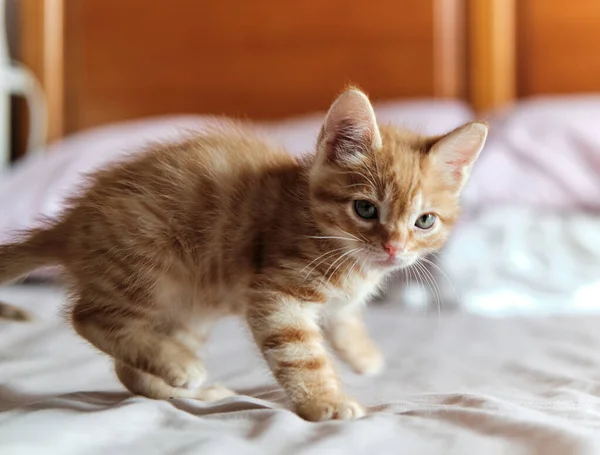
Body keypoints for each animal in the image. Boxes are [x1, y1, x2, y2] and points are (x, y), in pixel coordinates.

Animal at [0, 88, 488, 420]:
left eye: (425, 221)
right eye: (365, 209)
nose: (393, 248)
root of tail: (72, 222)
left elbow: (344, 316)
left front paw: (362, 353)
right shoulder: (276, 295)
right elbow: (301, 354)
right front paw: (326, 402)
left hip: (188, 309)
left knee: (125, 368)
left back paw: (183, 387)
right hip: (148, 266)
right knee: (89, 317)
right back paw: (179, 365)